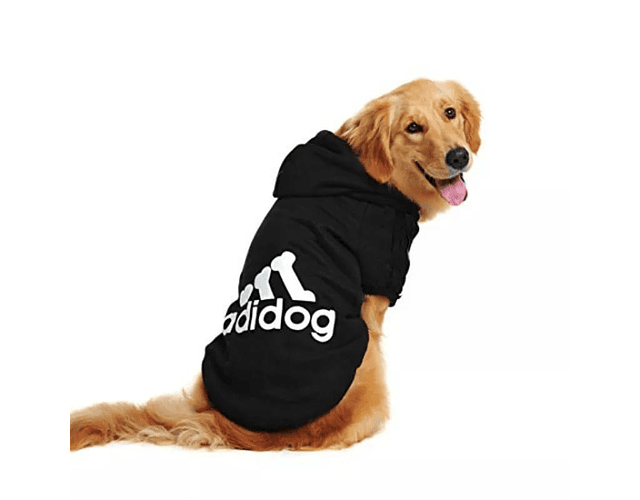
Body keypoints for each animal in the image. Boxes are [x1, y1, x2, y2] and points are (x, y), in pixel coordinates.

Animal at [70, 78, 481, 451]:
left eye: (450, 113)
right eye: (413, 127)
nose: (459, 156)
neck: (373, 177)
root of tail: (237, 427)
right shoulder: (381, 280)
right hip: (367, 365)